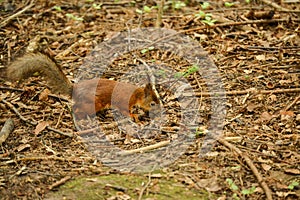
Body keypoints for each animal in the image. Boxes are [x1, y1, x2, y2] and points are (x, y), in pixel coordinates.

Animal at [6, 52, 159, 120]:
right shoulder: (123, 101)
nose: (159, 112)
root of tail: (75, 90)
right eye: (152, 103)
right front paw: (134, 115)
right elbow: (124, 110)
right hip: (93, 102)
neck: (137, 94)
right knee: (77, 108)